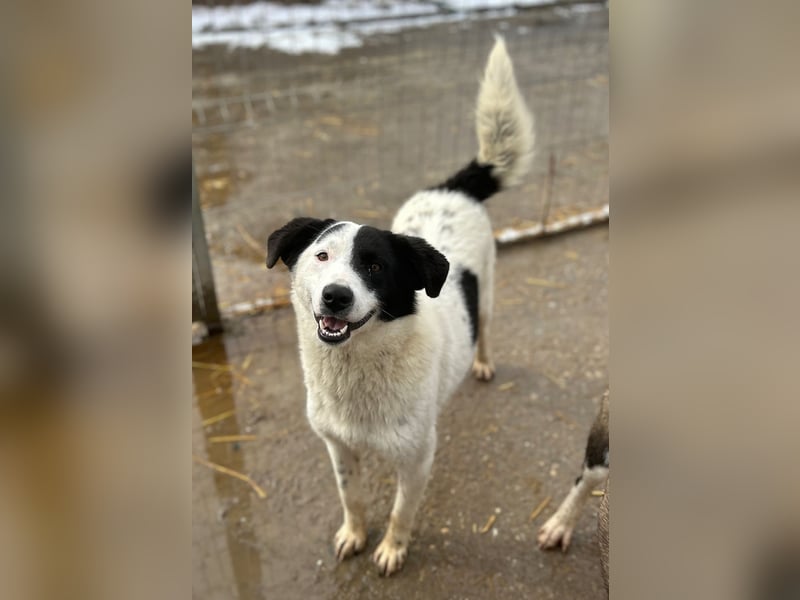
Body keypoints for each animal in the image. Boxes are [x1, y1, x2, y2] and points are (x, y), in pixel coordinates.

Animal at [266, 37, 533, 576]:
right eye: (322, 256)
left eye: (375, 267)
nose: (336, 295)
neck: (357, 369)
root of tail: (453, 186)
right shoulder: (338, 449)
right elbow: (352, 499)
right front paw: (354, 534)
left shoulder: (416, 458)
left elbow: (401, 511)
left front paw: (391, 548)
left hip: (488, 295)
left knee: (486, 329)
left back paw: (483, 363)